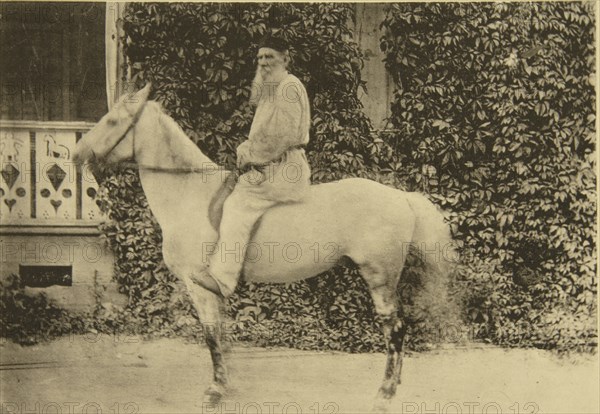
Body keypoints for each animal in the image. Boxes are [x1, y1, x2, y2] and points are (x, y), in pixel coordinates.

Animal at [71, 85, 454, 410]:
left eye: (113, 121)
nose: (76, 154)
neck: (190, 194)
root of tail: (402, 196)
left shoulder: (199, 286)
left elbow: (211, 335)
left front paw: (214, 391)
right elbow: (222, 335)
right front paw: (227, 384)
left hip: (379, 277)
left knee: (394, 328)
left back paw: (384, 393)